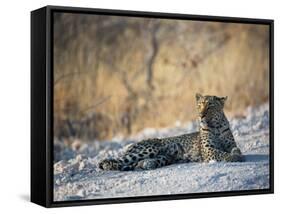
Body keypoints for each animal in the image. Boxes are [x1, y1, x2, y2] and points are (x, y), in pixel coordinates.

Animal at [98, 93, 243, 171]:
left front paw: (237, 155)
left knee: (137, 162)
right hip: (149, 149)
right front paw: (232, 157)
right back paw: (108, 165)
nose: (201, 115)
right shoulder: (208, 150)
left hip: (164, 157)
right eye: (200, 105)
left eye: (210, 106)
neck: (216, 126)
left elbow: (236, 149)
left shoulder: (231, 144)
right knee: (118, 160)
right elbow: (221, 153)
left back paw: (146, 164)